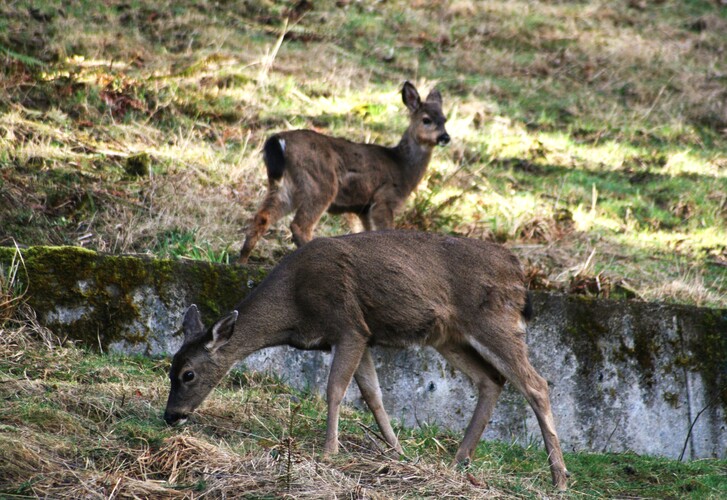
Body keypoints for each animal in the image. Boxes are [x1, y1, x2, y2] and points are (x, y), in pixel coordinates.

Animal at [164, 232, 568, 490]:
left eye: (188, 374)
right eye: (170, 368)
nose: (171, 415)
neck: (294, 306)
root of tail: (518, 271)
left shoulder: (348, 326)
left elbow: (334, 390)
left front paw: (329, 452)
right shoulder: (361, 336)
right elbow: (373, 395)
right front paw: (398, 452)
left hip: (493, 320)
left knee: (535, 383)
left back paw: (560, 478)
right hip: (448, 335)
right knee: (491, 380)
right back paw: (458, 462)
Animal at [237, 81, 450, 266]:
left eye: (444, 119)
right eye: (426, 120)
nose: (445, 137)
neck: (402, 167)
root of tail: (278, 140)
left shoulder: (363, 209)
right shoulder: (384, 199)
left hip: (285, 186)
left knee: (262, 216)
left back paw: (242, 261)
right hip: (321, 183)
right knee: (300, 225)